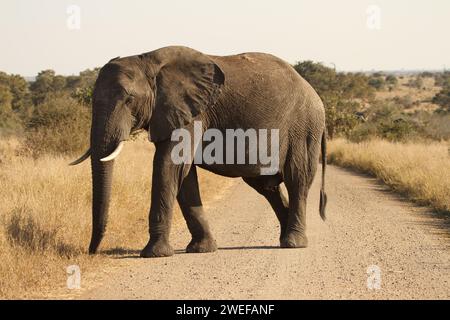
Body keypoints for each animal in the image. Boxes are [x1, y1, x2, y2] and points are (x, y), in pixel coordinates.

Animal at [72, 46, 328, 258]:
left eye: (129, 99)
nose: (92, 252)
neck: (147, 60)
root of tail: (315, 94)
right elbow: (183, 175)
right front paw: (201, 249)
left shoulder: (192, 114)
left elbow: (168, 166)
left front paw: (154, 254)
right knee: (267, 185)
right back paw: (285, 237)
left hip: (304, 129)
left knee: (297, 180)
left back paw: (293, 243)